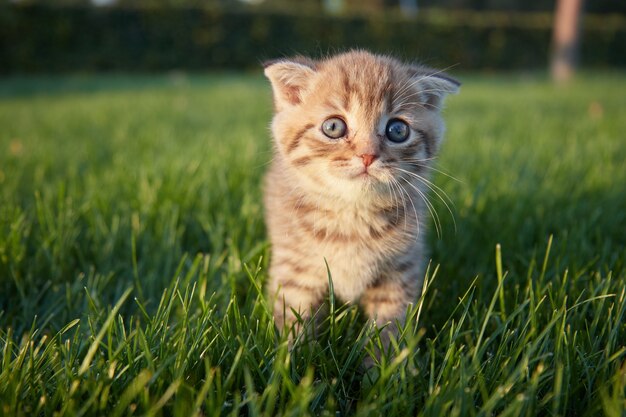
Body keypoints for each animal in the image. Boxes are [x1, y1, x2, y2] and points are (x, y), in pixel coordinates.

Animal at [260, 49, 456, 344]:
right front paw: (289, 353)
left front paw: (385, 357)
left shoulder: (399, 272)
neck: (352, 215)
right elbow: (292, 320)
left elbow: (389, 326)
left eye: (398, 130)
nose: (367, 155)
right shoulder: (296, 270)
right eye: (333, 127)